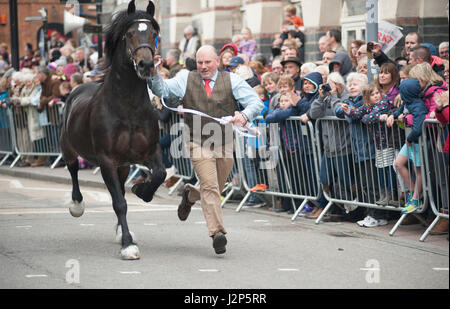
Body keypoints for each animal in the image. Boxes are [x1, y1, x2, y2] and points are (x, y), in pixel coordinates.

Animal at [59, 0, 165, 258]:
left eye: (154, 34)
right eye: (130, 34)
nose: (146, 65)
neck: (128, 106)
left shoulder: (149, 152)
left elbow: (159, 174)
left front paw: (142, 191)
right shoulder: (107, 159)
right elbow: (119, 202)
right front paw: (128, 244)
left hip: (124, 165)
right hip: (68, 147)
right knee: (73, 168)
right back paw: (76, 204)